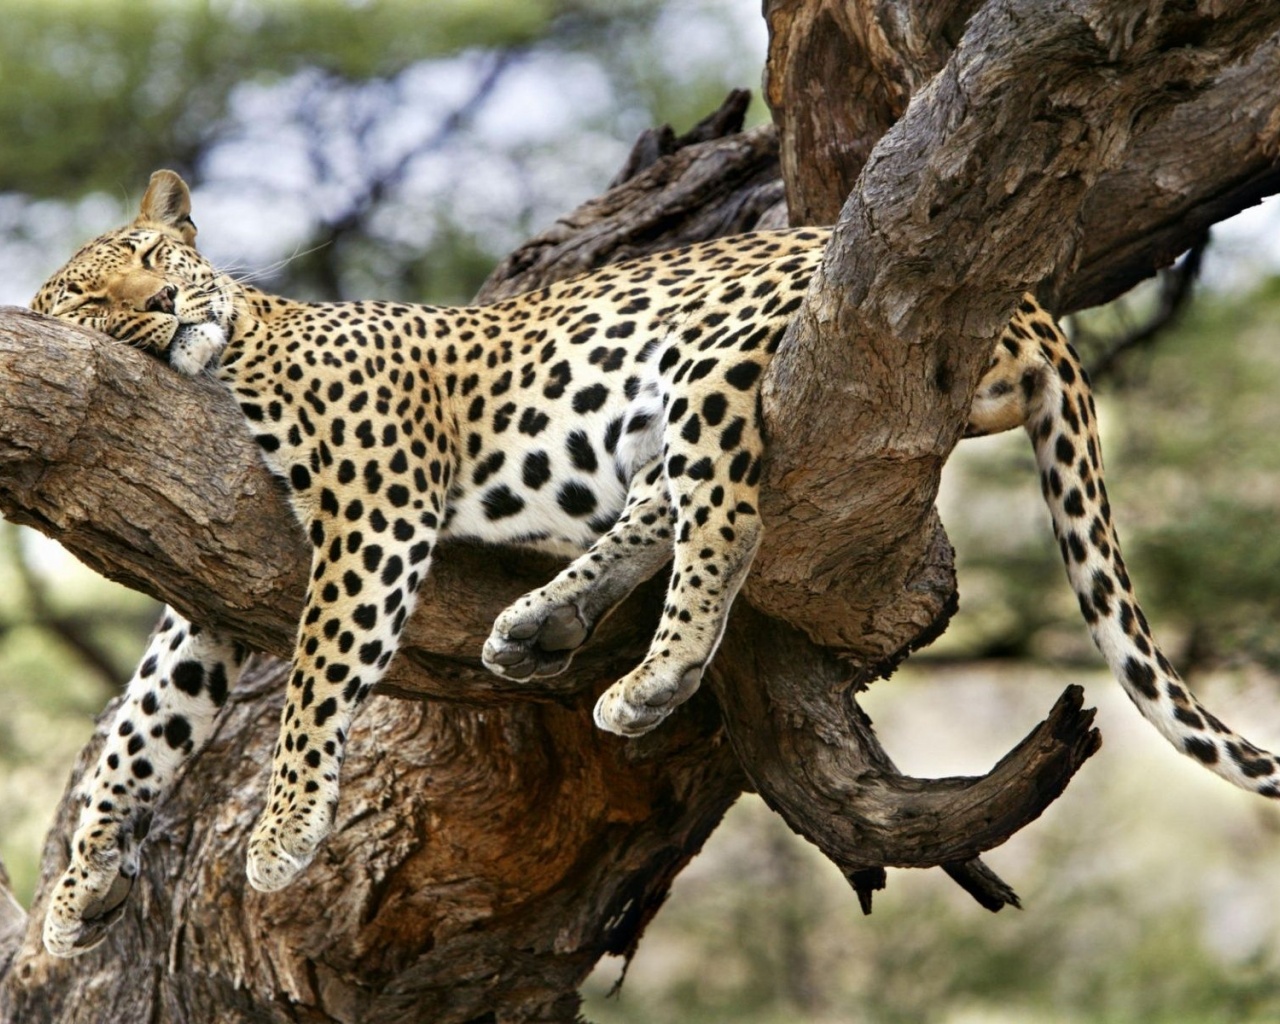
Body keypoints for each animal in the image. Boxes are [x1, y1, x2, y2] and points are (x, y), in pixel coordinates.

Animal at [30, 170, 1280, 962]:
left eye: (153, 257)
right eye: (92, 295)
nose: (163, 300)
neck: (231, 351)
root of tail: (1026, 299)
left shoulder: (372, 505)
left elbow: (315, 676)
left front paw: (283, 830)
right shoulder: (204, 586)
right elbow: (142, 723)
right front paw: (79, 881)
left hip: (712, 354)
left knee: (723, 515)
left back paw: (653, 676)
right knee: (662, 502)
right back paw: (540, 622)